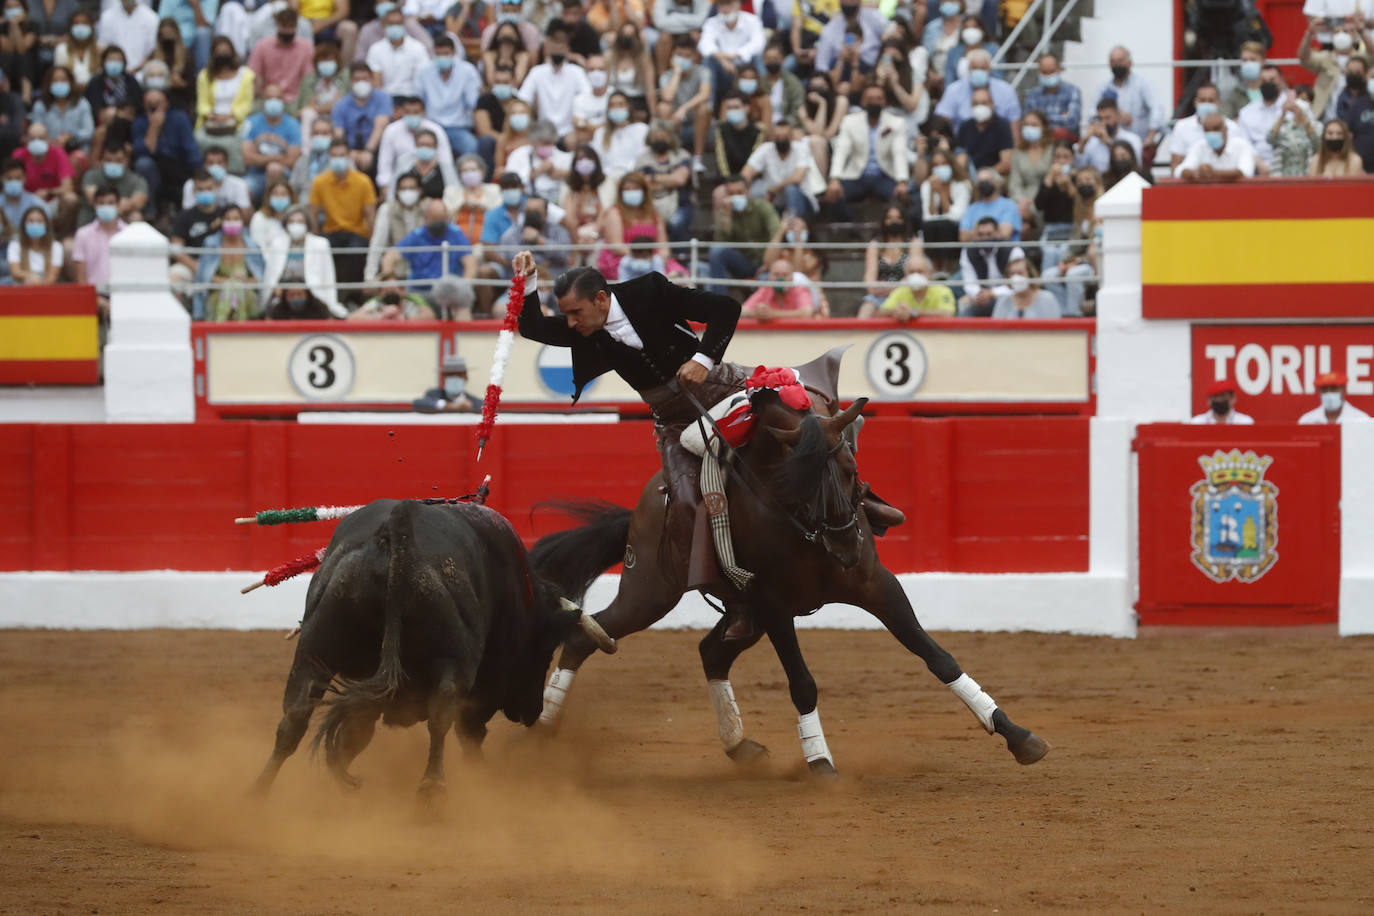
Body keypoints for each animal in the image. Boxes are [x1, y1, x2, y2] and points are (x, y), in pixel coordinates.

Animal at [251, 497, 618, 796]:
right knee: (442, 715)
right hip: (454, 658)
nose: (532, 712)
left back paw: (258, 794)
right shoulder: (484, 680)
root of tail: (394, 536)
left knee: (294, 718)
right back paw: (432, 790)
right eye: (544, 651)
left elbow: (355, 731)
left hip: (315, 649)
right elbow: (469, 728)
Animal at [530, 351, 1044, 774]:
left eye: (852, 470)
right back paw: (544, 731)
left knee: (711, 652)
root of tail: (643, 507)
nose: (845, 547)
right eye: (794, 482)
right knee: (588, 634)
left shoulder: (875, 583)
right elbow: (802, 682)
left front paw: (1017, 735)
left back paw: (739, 747)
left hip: (738, 614)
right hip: (651, 590)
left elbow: (936, 655)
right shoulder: (774, 603)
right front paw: (819, 761)